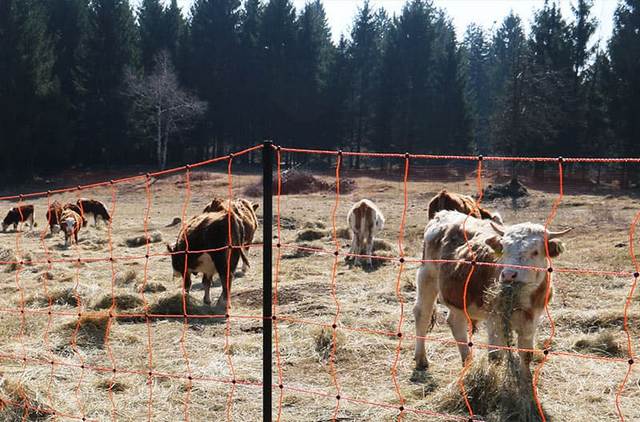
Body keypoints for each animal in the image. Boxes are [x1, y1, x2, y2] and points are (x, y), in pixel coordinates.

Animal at [416, 210, 568, 372]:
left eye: (535, 252)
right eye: (504, 249)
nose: (508, 274)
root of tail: (443, 214)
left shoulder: (532, 319)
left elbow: (526, 355)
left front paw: (526, 378)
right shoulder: (494, 318)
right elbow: (495, 356)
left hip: (458, 296)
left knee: (456, 323)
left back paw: (467, 361)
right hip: (427, 277)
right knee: (422, 315)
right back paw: (421, 359)